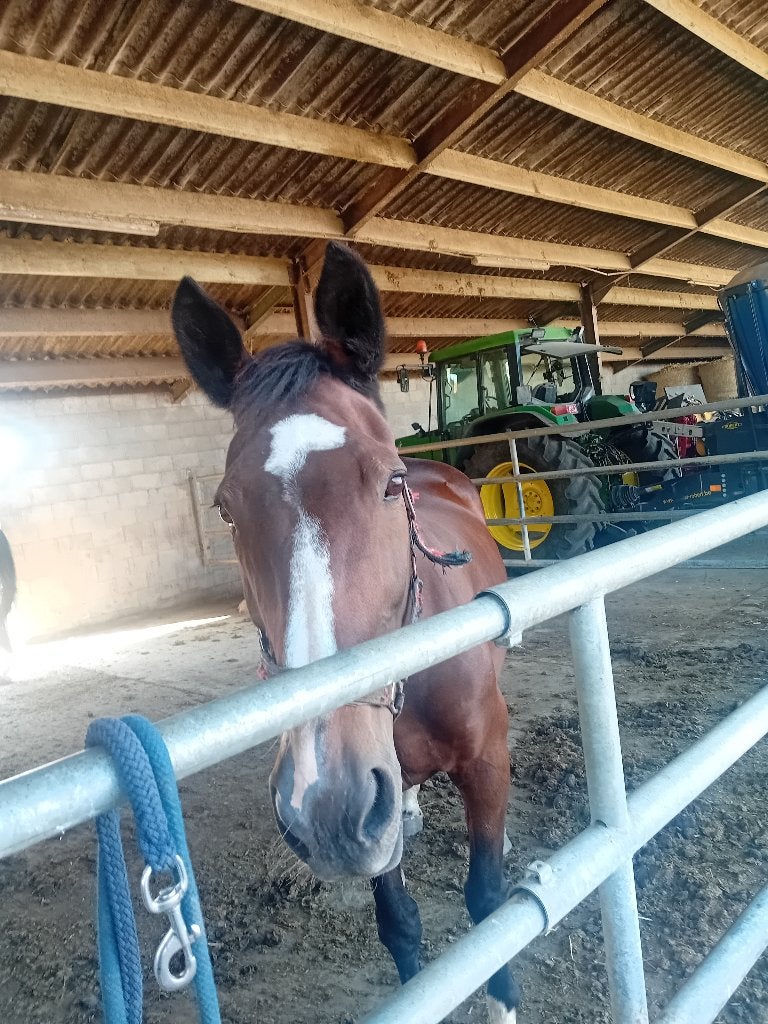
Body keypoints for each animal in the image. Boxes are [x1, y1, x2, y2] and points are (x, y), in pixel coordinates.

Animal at [171, 242, 520, 1022]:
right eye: (226, 508)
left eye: (389, 484)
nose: (323, 804)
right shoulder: (373, 814)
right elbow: (401, 925)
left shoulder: (487, 758)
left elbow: (490, 905)